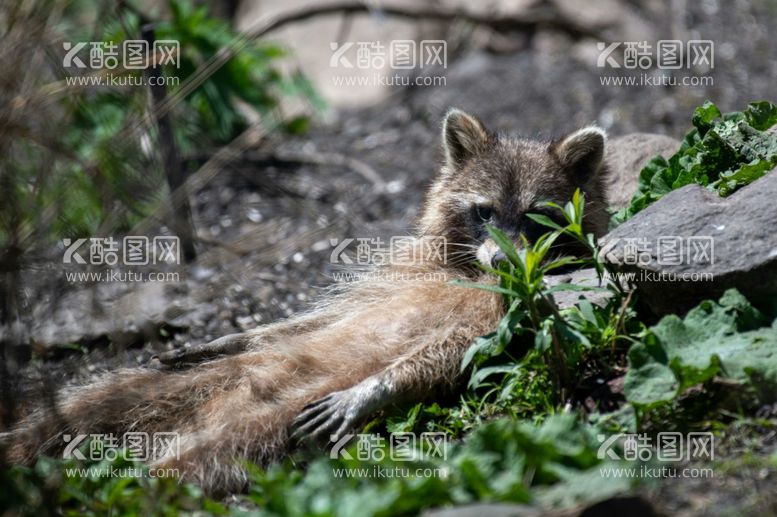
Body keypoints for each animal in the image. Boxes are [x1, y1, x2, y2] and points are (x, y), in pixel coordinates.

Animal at [1, 107, 620, 494]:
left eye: (537, 217)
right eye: (484, 212)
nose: (503, 263)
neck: (471, 271)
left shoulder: (523, 307)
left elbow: (456, 351)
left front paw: (375, 388)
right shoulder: (402, 270)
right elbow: (325, 315)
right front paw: (235, 332)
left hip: (271, 422)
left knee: (194, 458)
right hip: (199, 383)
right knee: (96, 401)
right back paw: (27, 446)